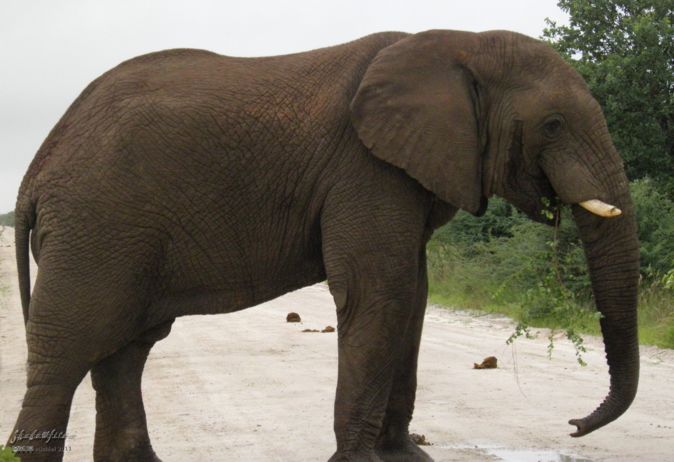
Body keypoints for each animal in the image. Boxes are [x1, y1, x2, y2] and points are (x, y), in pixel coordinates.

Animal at [6, 29, 636, 462]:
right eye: (553, 125)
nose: (574, 425)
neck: (461, 44)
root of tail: (35, 170)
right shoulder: (366, 169)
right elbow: (378, 294)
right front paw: (360, 460)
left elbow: (413, 297)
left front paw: (406, 456)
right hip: (94, 225)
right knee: (67, 355)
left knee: (124, 352)